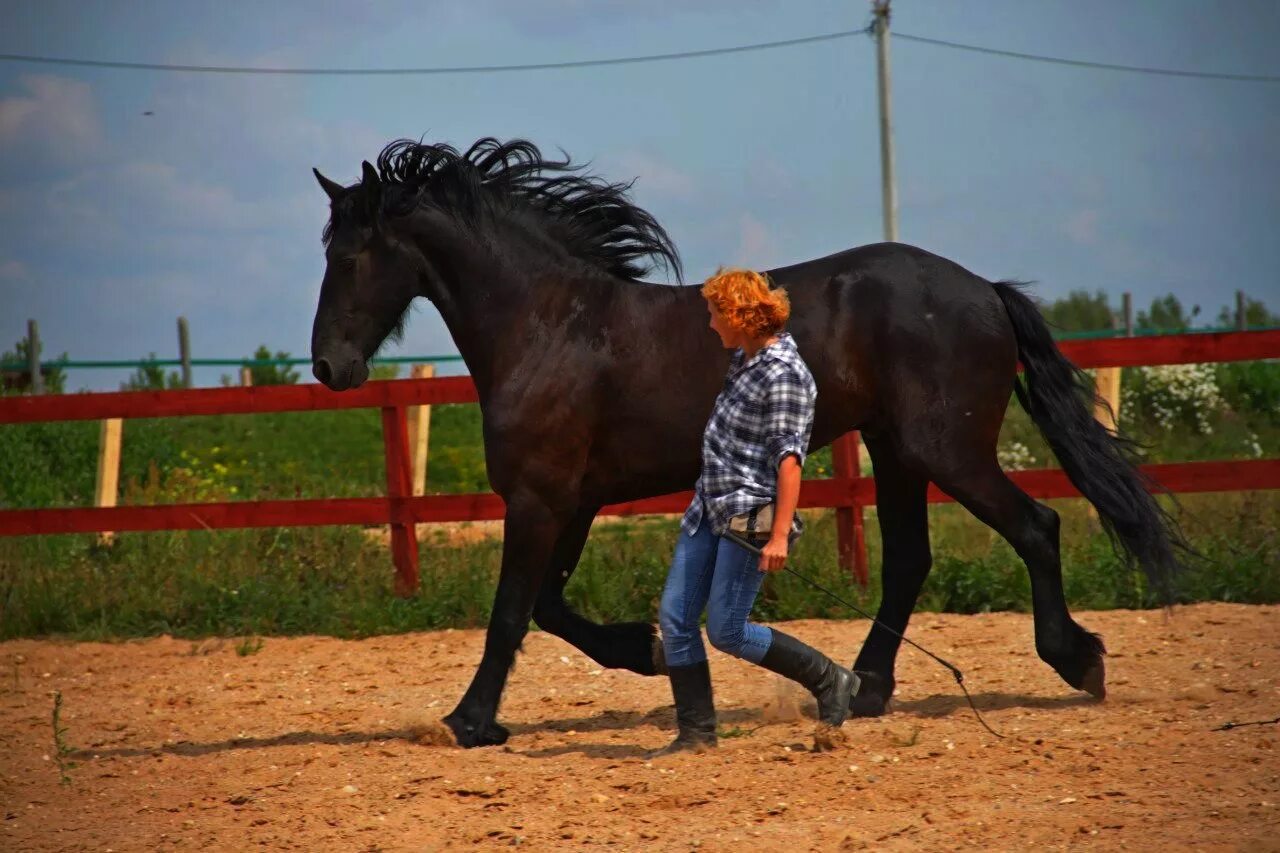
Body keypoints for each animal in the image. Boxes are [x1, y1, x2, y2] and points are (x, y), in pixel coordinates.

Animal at [307, 137, 1177, 742]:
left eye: (348, 254)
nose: (327, 366)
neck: (549, 325)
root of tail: (986, 292)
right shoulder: (573, 500)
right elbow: (549, 606)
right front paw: (651, 649)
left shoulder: (539, 498)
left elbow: (512, 613)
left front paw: (468, 721)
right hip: (896, 450)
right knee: (909, 559)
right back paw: (866, 687)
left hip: (948, 451)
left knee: (1037, 525)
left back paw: (1077, 659)